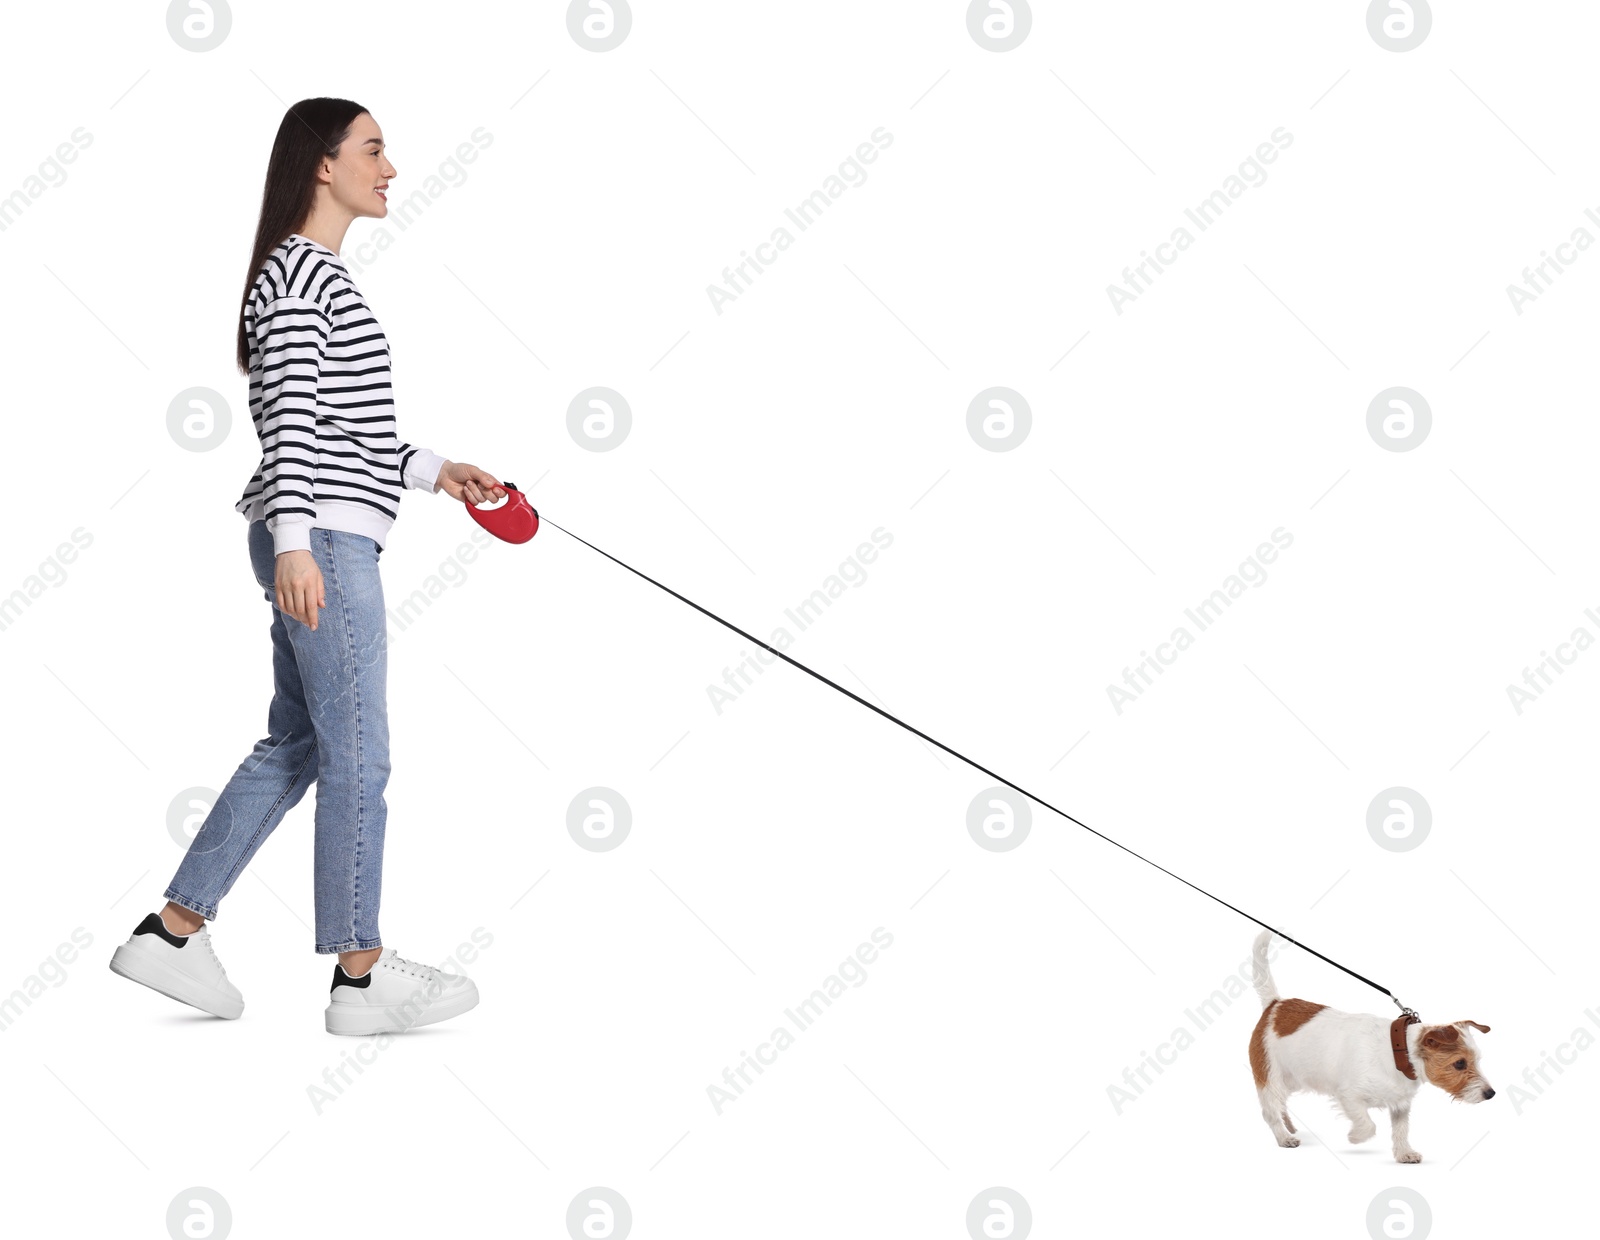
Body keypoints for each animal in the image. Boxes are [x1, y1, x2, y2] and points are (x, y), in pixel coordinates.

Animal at [1241, 934, 1491, 1164]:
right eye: (1460, 1063)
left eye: (1477, 1060)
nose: (1491, 1094)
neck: (1398, 1052)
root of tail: (1275, 1005)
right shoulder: (1349, 1096)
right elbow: (1368, 1125)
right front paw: (1355, 1137)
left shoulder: (1400, 1105)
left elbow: (1401, 1130)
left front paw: (1404, 1153)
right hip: (1271, 1077)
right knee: (1269, 1111)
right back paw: (1284, 1137)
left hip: (1292, 1077)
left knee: (1280, 1105)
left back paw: (1289, 1127)